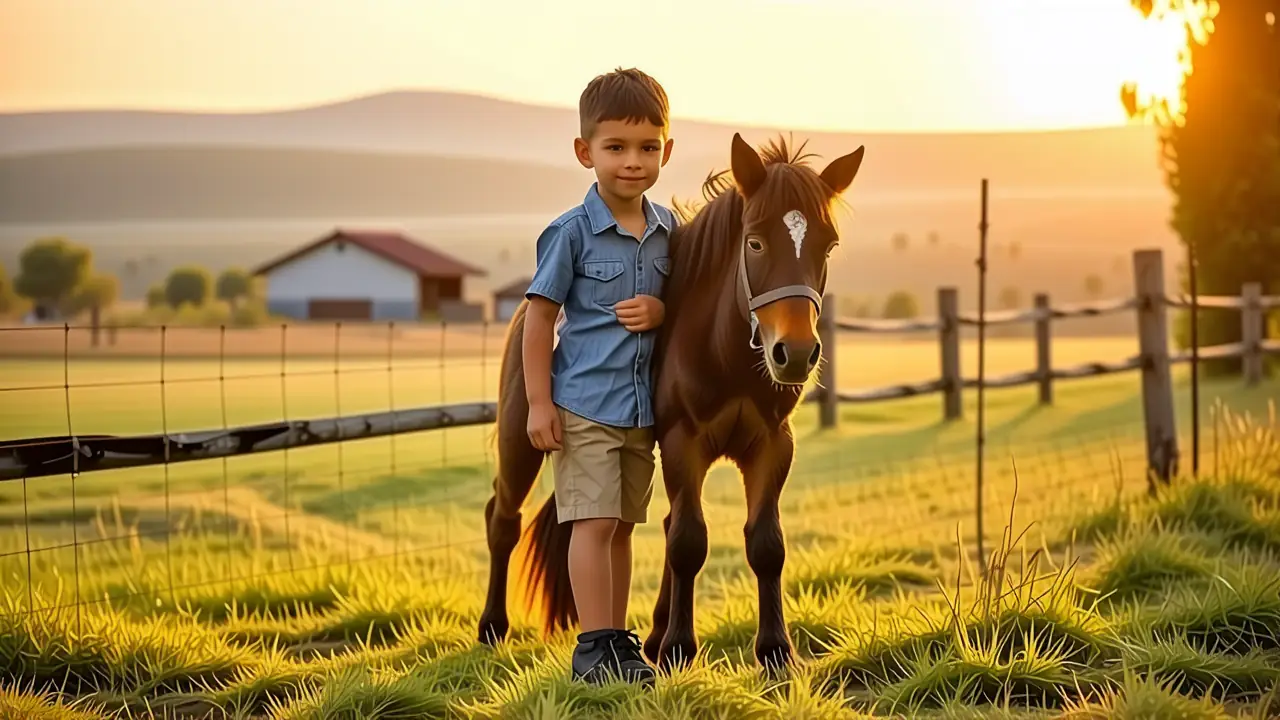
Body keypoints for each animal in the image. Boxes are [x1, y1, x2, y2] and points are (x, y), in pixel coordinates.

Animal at [476, 132, 865, 672]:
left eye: (828, 245)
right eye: (755, 242)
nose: (796, 352)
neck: (723, 354)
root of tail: (521, 313)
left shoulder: (772, 446)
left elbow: (765, 543)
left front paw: (774, 651)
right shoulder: (685, 442)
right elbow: (688, 541)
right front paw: (682, 647)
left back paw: (655, 634)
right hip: (522, 441)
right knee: (503, 519)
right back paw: (494, 626)